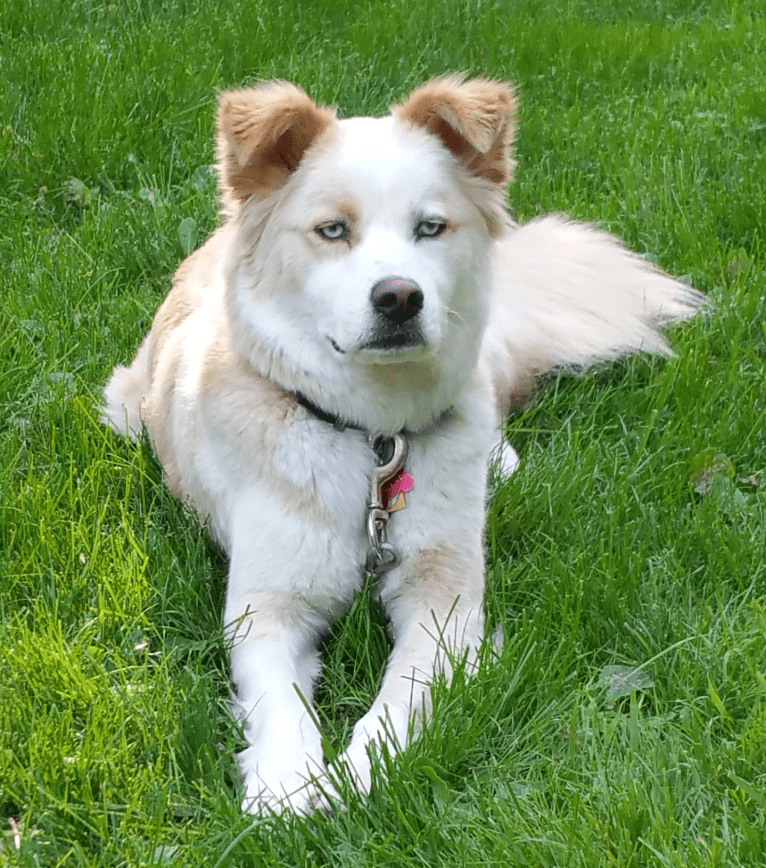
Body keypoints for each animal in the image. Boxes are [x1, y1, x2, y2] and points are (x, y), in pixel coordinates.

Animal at [103, 74, 708, 812]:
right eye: (333, 230)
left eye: (431, 227)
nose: (399, 297)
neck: (374, 438)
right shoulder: (264, 608)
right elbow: (281, 705)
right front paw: (284, 789)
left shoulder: (444, 602)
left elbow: (402, 699)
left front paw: (357, 777)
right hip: (126, 408)